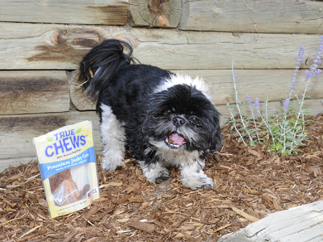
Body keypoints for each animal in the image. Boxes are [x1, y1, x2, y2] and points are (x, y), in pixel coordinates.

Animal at [78, 38, 223, 190]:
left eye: (194, 119)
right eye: (167, 111)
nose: (178, 119)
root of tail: (121, 67)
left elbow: (193, 162)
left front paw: (195, 179)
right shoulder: (137, 132)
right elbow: (147, 155)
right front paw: (157, 172)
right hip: (110, 113)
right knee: (112, 139)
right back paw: (112, 161)